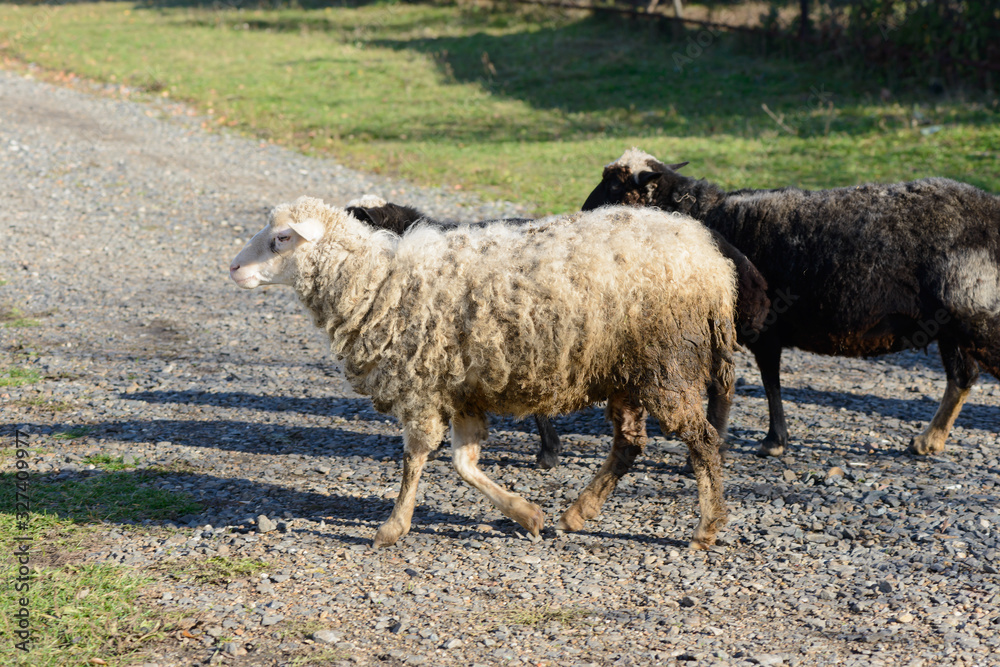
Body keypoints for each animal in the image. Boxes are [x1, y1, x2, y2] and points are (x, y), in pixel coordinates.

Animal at [229, 196, 737, 549]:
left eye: (282, 238)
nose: (233, 268)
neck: (375, 282)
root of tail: (709, 258)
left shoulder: (421, 386)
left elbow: (415, 459)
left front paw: (392, 527)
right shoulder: (462, 391)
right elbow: (464, 464)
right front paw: (527, 515)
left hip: (667, 362)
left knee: (702, 440)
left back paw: (706, 528)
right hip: (627, 371)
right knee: (630, 442)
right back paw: (578, 513)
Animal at [583, 147, 1000, 458]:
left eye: (613, 183)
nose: (584, 211)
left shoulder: (762, 326)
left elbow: (769, 380)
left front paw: (772, 441)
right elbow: (769, 379)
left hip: (977, 315)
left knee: (966, 374)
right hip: (951, 324)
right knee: (962, 377)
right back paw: (929, 441)